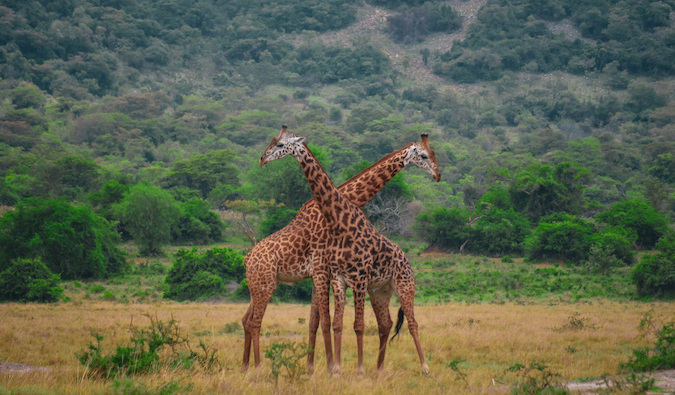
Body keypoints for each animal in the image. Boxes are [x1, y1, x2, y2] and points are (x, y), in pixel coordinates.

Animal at [240, 125, 440, 376]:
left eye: (432, 154)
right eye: (424, 155)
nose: (438, 175)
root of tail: (247, 258)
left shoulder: (322, 273)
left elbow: (319, 321)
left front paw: (316, 367)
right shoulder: (322, 270)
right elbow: (326, 321)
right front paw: (327, 367)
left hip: (263, 284)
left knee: (246, 319)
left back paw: (246, 366)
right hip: (264, 284)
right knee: (254, 321)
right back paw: (255, 367)